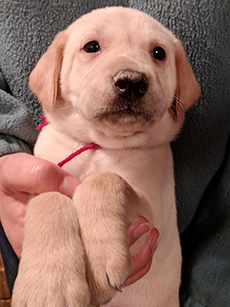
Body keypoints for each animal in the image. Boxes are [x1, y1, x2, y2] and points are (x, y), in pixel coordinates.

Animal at [12, 5, 199, 307]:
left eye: (159, 53)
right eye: (92, 47)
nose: (131, 81)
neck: (99, 145)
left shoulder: (153, 220)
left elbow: (106, 180)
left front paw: (100, 261)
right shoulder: (47, 175)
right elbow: (49, 198)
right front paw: (48, 286)